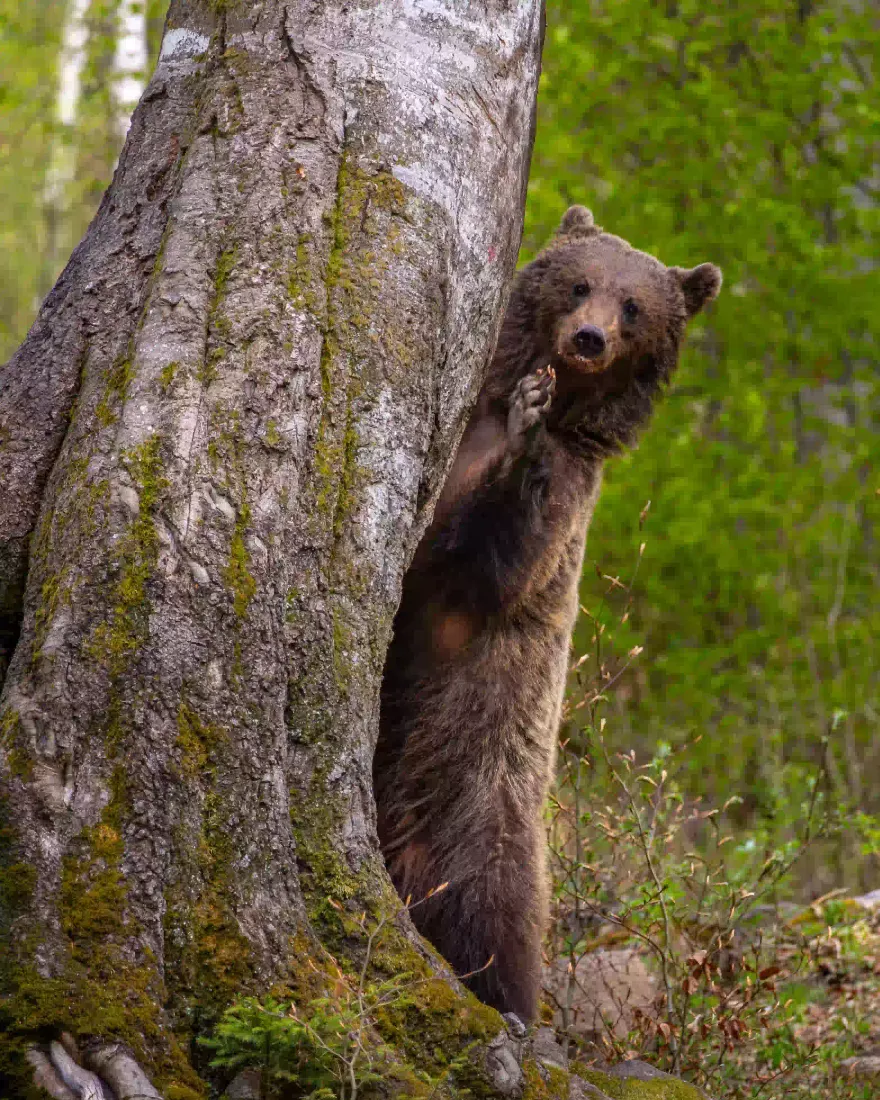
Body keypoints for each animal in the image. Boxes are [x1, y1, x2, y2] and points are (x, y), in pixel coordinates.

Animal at [374, 207, 721, 1022]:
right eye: (580, 282)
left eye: (635, 307)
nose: (588, 339)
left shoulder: (561, 507)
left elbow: (488, 567)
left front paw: (523, 438)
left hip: (480, 784)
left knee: (487, 893)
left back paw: (504, 992)